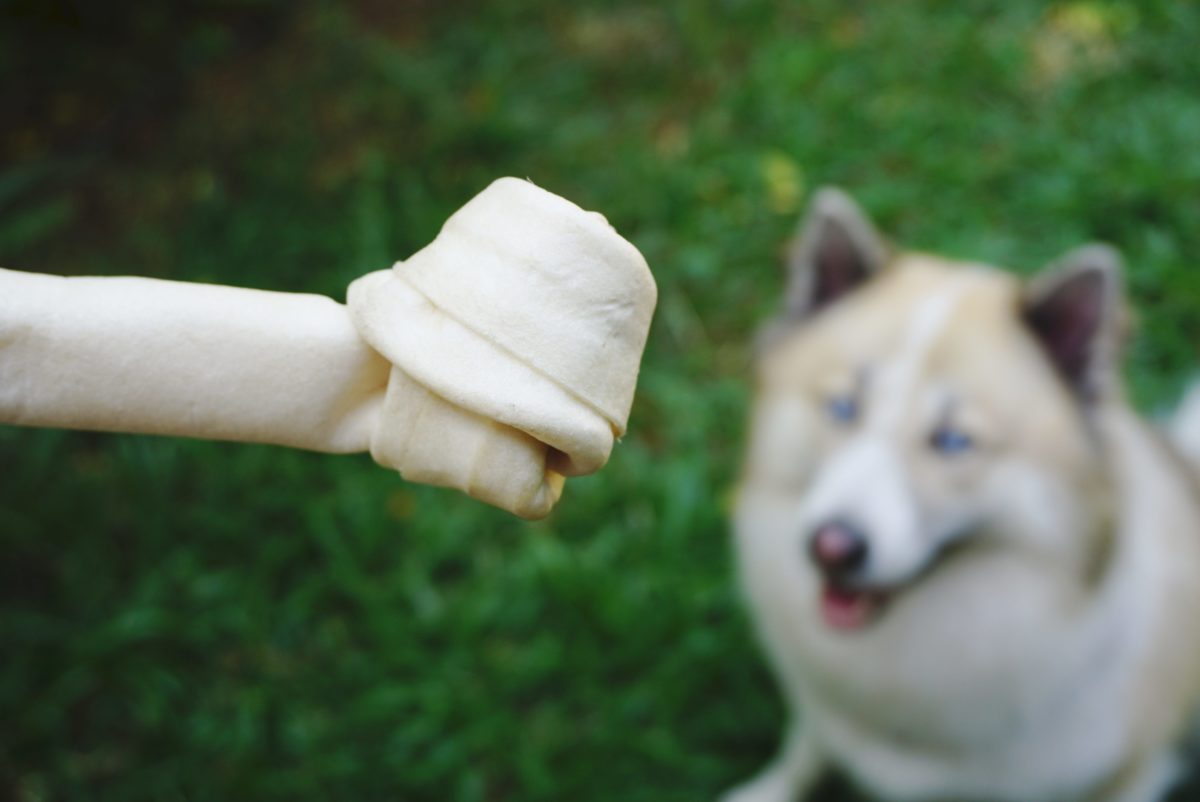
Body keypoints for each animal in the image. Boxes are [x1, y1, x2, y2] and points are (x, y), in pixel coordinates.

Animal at [720, 189, 1200, 802]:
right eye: (843, 407)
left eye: (953, 441)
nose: (831, 547)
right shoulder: (822, 706)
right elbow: (806, 745)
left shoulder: (1130, 771)